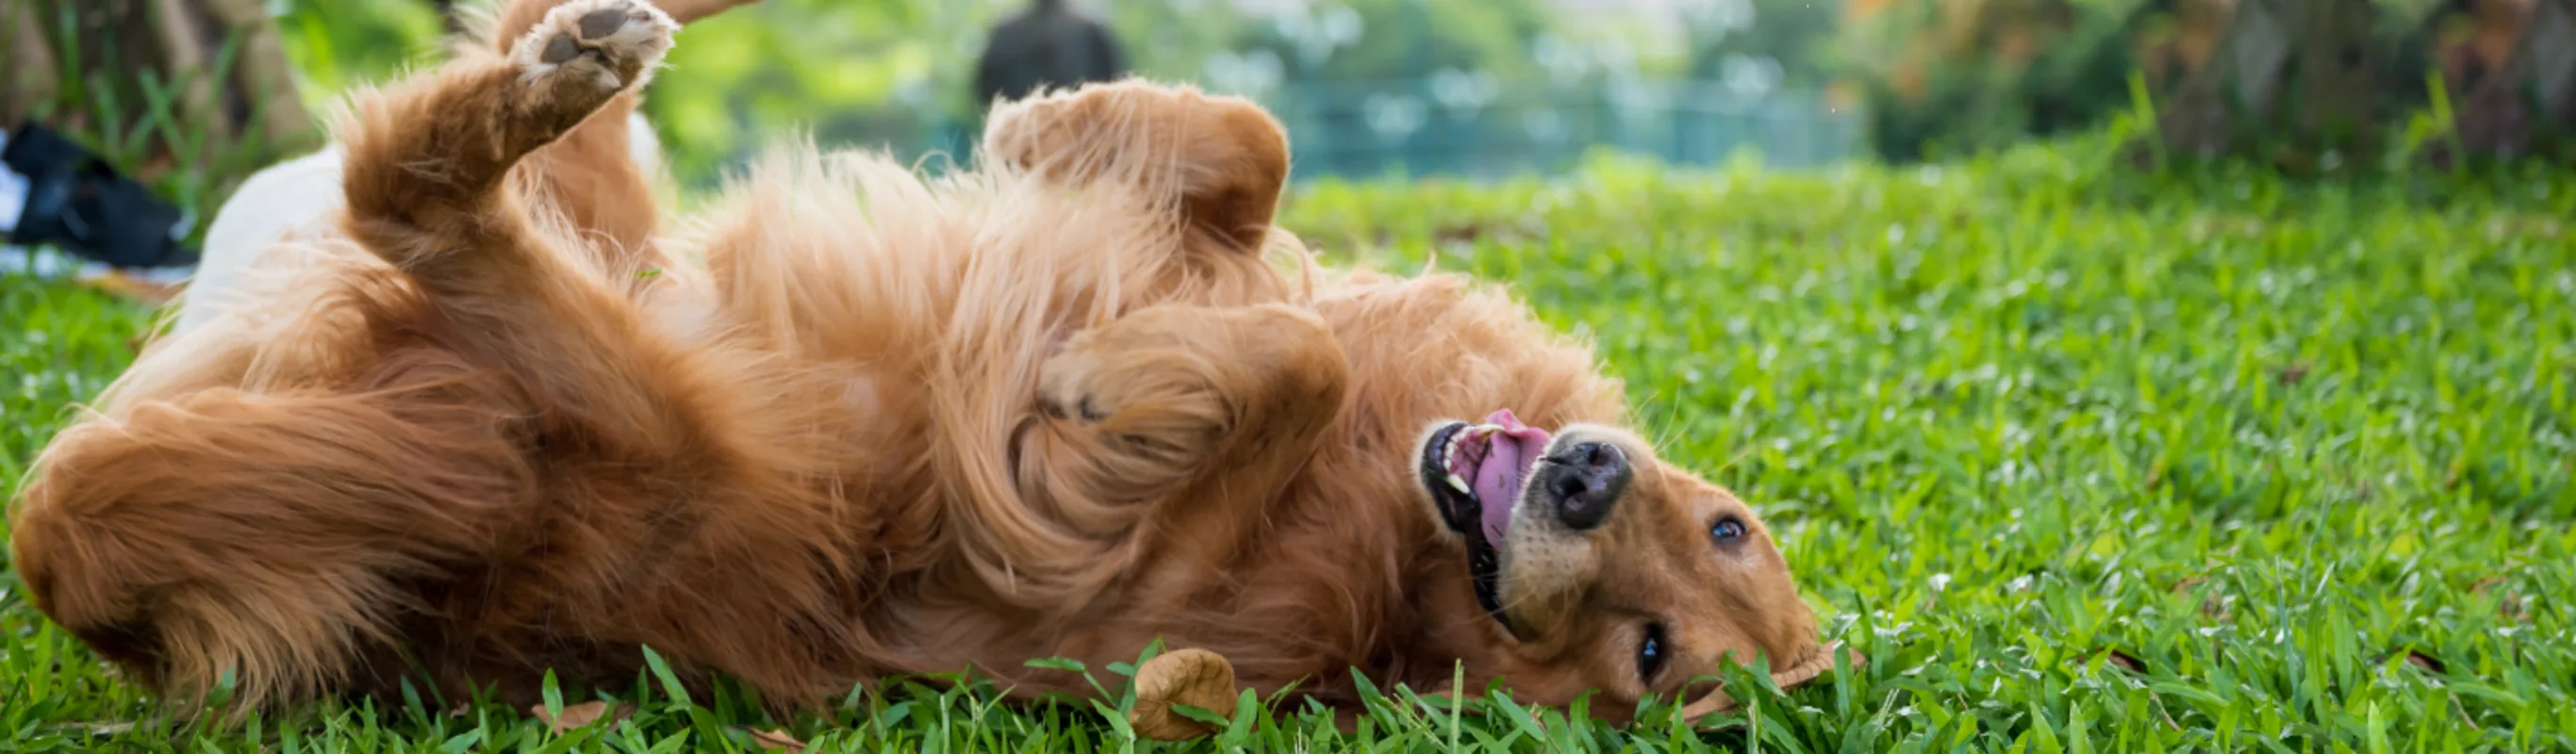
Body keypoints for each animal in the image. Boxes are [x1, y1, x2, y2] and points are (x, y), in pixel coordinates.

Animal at [9, 0, 1844, 720]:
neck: (1403, 546)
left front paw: (1113, 382)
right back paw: (594, 42)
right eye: (1727, 522)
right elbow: (1250, 154)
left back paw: (531, 94)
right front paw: (1074, 119)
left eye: (1651, 658)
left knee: (405, 189)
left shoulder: (1128, 592)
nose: (1588, 470)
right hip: (614, 246)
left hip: (640, 411)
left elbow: (1255, 374)